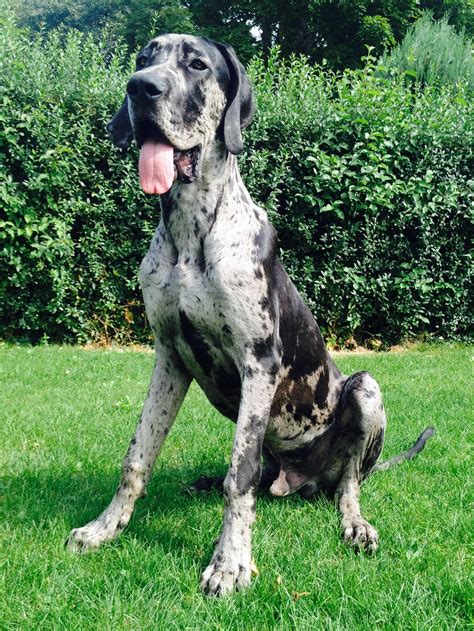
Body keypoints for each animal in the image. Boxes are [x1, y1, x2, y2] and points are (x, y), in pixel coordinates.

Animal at [65, 33, 434, 596]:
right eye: (143, 59)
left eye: (197, 64)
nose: (141, 88)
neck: (191, 231)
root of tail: (302, 482)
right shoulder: (169, 357)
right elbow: (136, 457)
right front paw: (104, 528)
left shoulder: (259, 360)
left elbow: (237, 476)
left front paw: (230, 563)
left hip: (365, 391)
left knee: (345, 482)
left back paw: (354, 523)